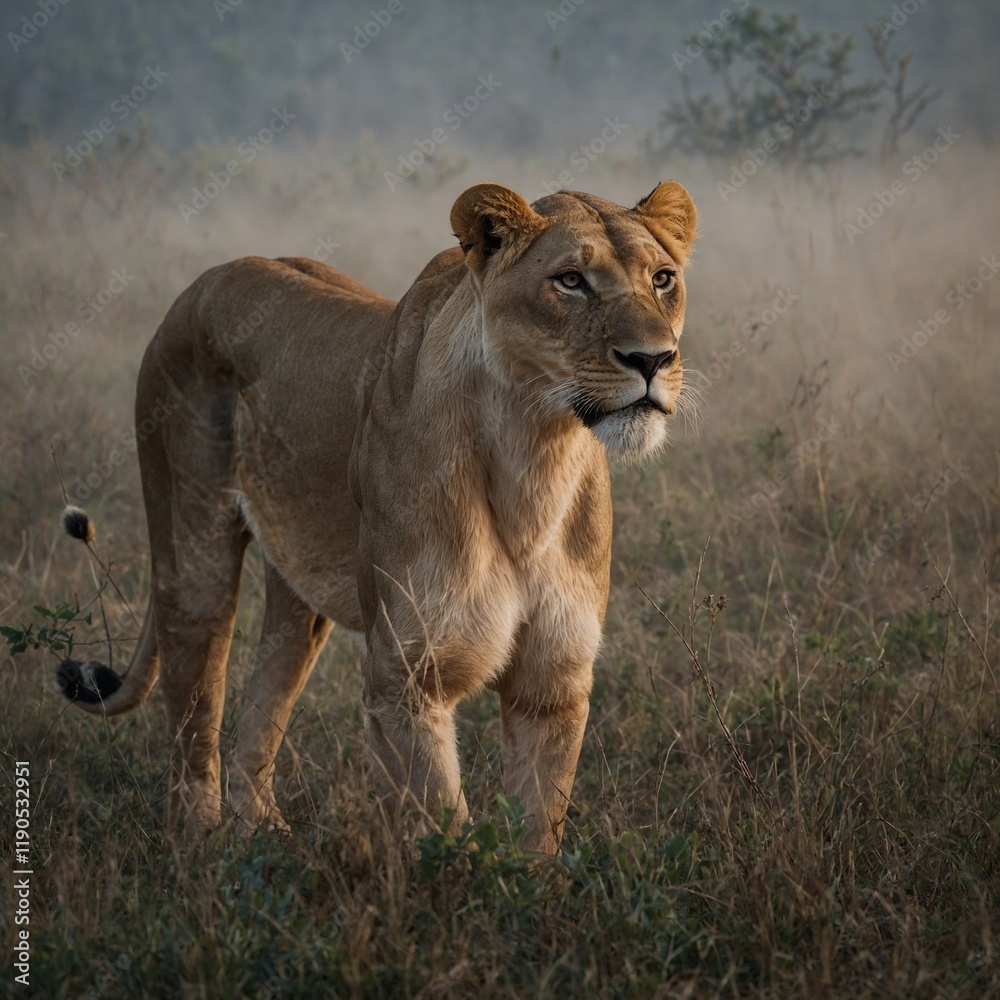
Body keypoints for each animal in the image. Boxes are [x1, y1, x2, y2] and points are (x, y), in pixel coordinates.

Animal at [57, 180, 697, 854]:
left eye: (662, 279)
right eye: (570, 280)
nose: (654, 359)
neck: (534, 454)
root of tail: (205, 279)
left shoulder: (553, 684)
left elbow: (536, 836)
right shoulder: (406, 680)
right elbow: (445, 831)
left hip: (301, 589)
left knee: (259, 711)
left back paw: (262, 835)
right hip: (192, 551)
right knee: (195, 712)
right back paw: (200, 842)